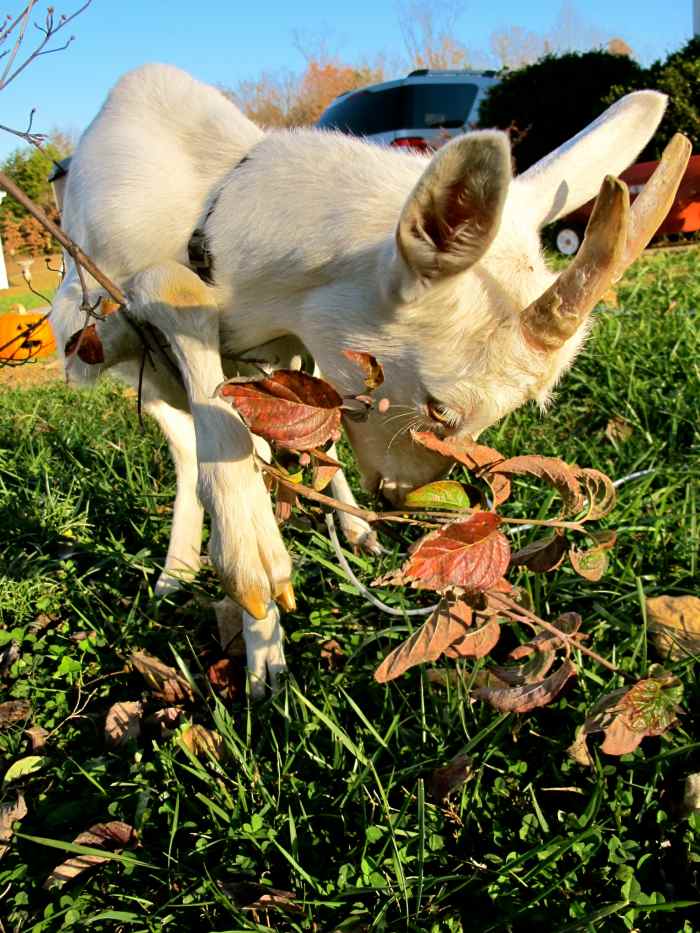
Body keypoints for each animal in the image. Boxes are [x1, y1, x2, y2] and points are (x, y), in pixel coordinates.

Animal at [51, 63, 689, 694]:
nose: (410, 500)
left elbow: (306, 427)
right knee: (188, 443)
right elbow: (171, 306)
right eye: (439, 408)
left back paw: (348, 535)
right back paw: (180, 575)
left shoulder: (291, 346)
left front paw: (267, 647)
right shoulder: (91, 317)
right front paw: (250, 561)